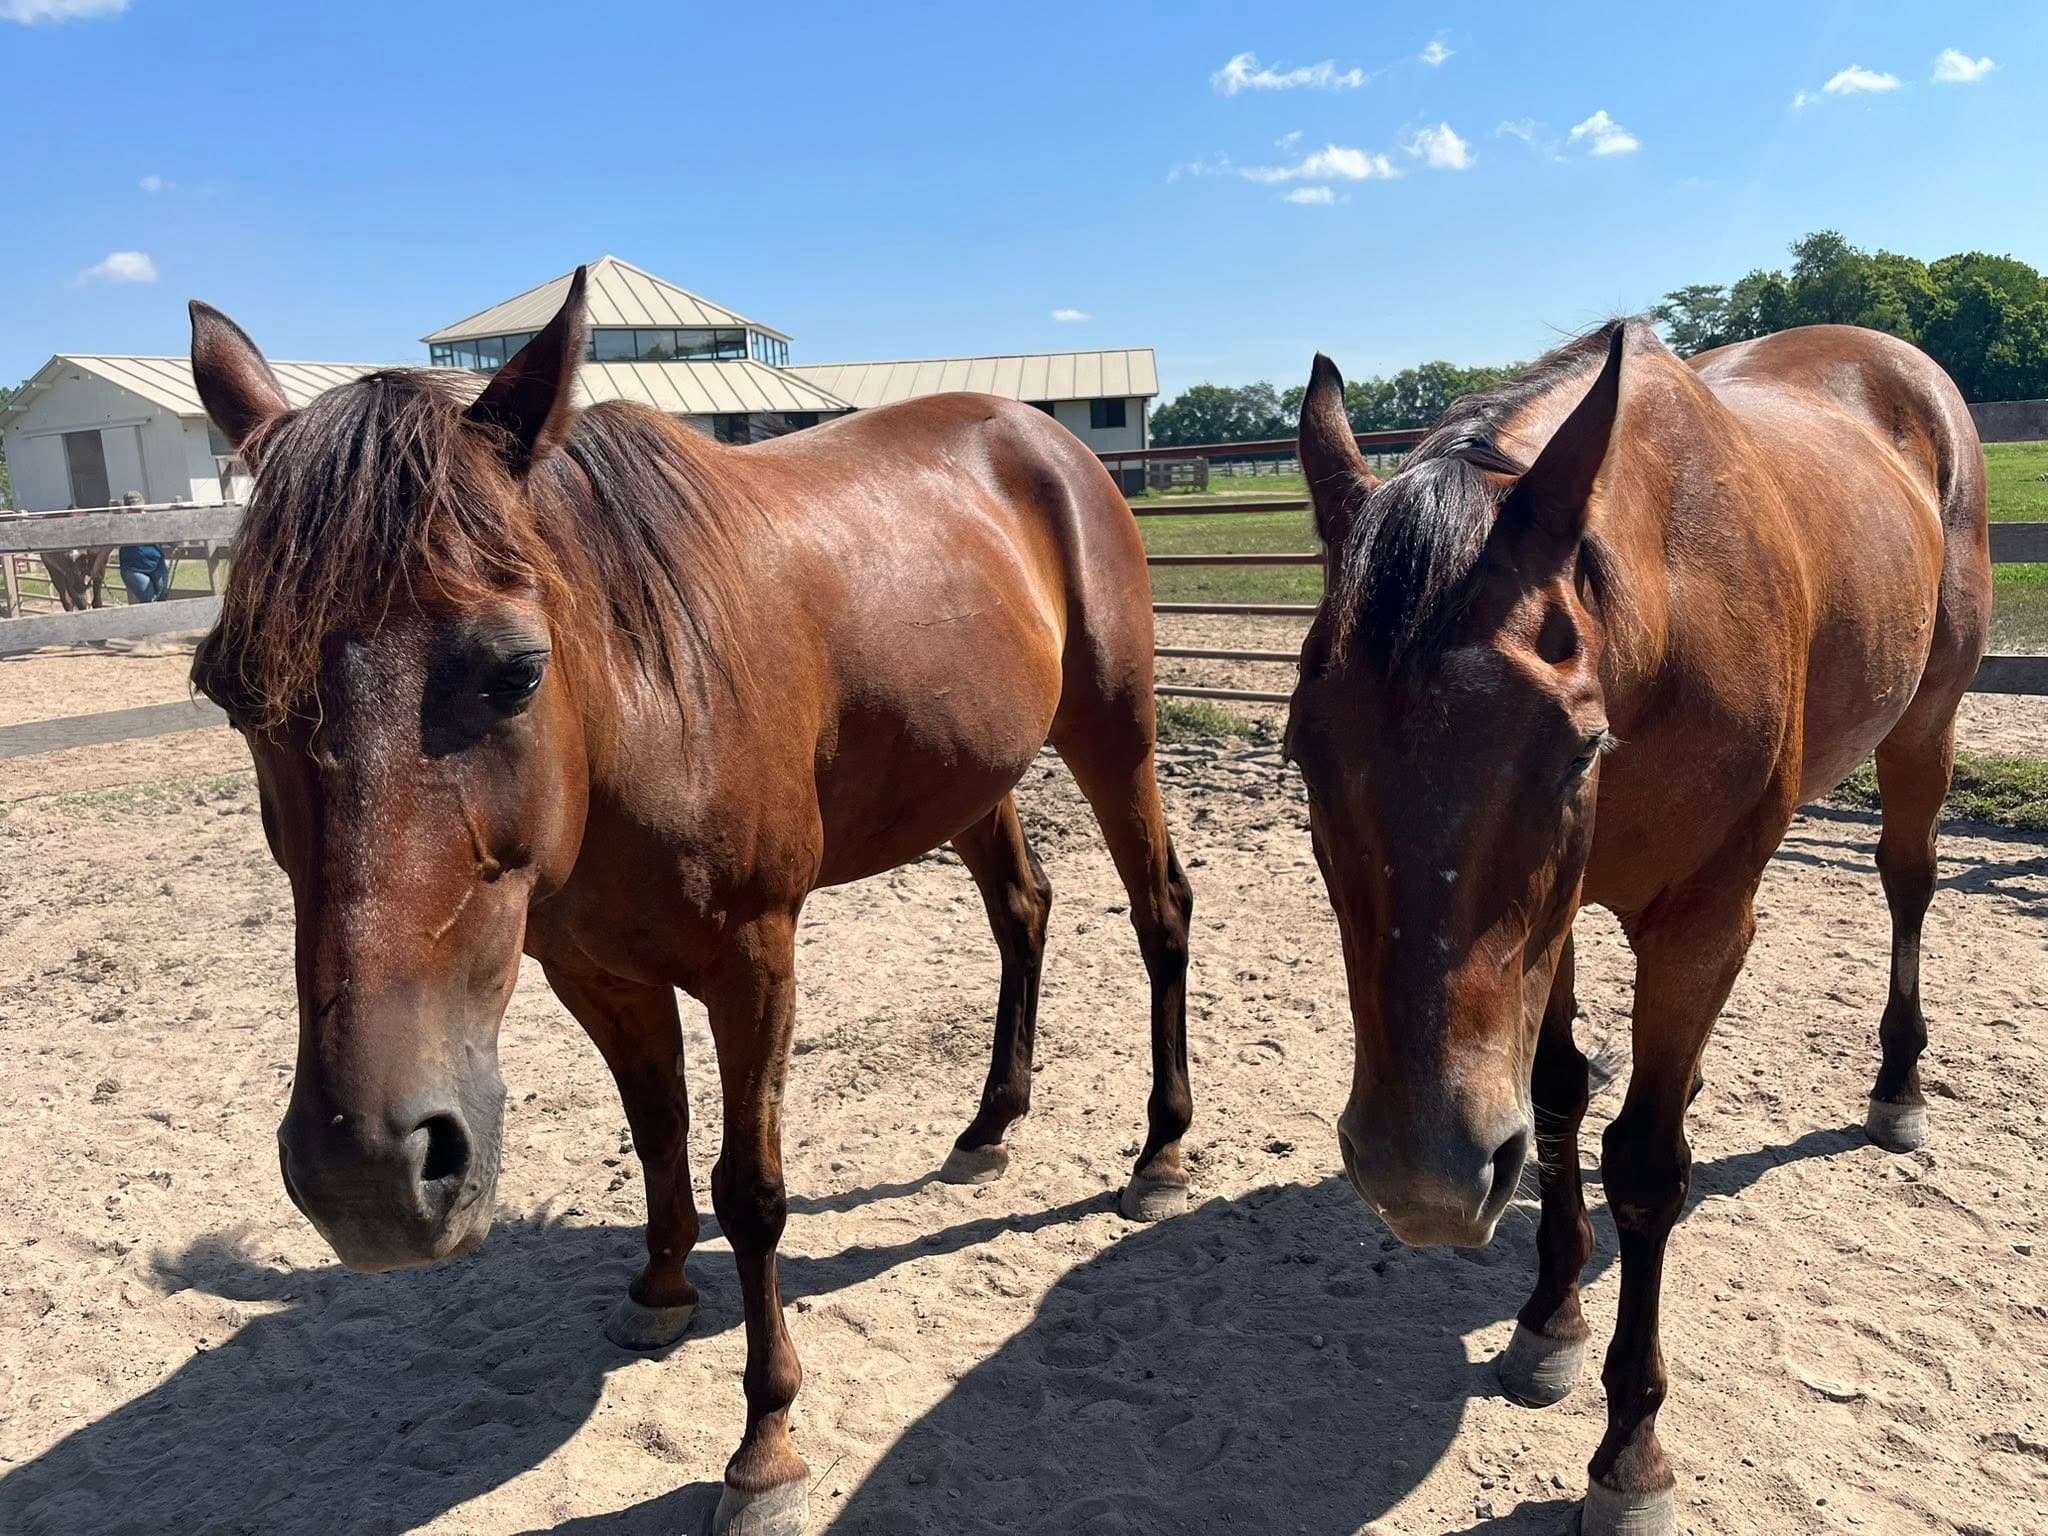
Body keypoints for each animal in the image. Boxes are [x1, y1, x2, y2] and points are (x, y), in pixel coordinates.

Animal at [185, 268, 1195, 1536]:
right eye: (225, 688)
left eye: (514, 670)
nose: (365, 1172)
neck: (640, 708)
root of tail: (1045, 438)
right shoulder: (598, 975)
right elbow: (658, 1135)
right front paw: (661, 1289)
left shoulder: (752, 964)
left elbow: (748, 1190)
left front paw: (765, 1449)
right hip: (972, 775)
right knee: (1022, 911)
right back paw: (987, 1128)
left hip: (1113, 732)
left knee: (1158, 915)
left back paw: (1159, 1155)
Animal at [1284, 320, 1989, 1535]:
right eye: (1300, 748)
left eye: (1574, 752)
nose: (1422, 1178)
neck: (1662, 624)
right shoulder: (1551, 927)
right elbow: (1560, 1099)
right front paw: (1548, 1321)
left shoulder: (1697, 922)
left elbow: (1648, 1166)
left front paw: (1629, 1456)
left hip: (1924, 730)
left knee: (1907, 885)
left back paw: (1897, 1087)